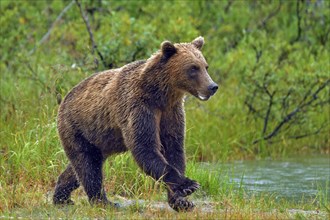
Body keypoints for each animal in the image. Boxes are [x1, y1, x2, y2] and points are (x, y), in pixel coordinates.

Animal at [53, 36, 219, 211]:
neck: (161, 94)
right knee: (87, 165)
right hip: (76, 127)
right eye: (193, 68)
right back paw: (104, 202)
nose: (212, 86)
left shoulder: (171, 113)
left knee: (80, 166)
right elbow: (145, 147)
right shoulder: (138, 106)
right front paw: (189, 184)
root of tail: (65, 97)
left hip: (99, 140)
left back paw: (62, 196)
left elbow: (174, 148)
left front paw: (182, 201)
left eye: (205, 66)